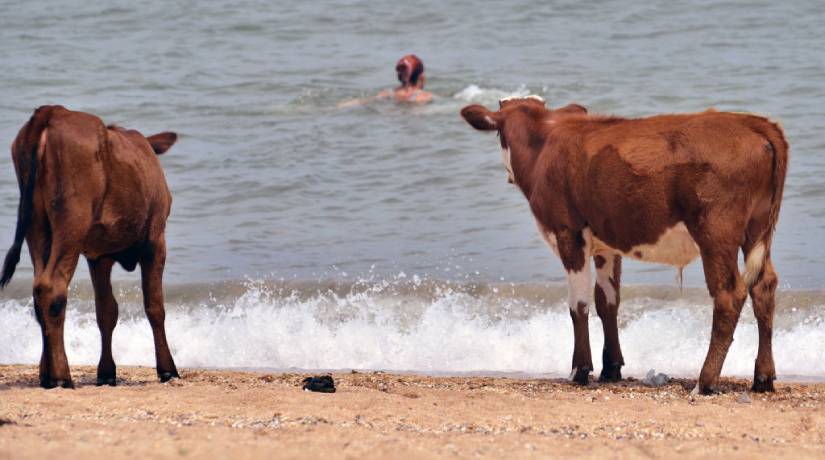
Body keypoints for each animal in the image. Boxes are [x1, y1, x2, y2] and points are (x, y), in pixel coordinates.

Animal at [0, 105, 180, 388]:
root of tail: (52, 111)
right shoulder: (155, 240)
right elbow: (154, 306)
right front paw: (167, 369)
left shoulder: (98, 256)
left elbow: (106, 311)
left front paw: (106, 372)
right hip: (71, 222)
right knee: (52, 287)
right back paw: (63, 376)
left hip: (37, 226)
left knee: (38, 290)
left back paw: (46, 375)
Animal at [460, 95, 788, 394]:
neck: (546, 142)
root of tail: (751, 122)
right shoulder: (606, 245)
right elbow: (608, 301)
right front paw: (611, 368)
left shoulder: (569, 233)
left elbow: (578, 304)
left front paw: (579, 370)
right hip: (758, 229)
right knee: (764, 286)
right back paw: (762, 377)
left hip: (716, 232)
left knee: (729, 294)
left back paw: (705, 382)